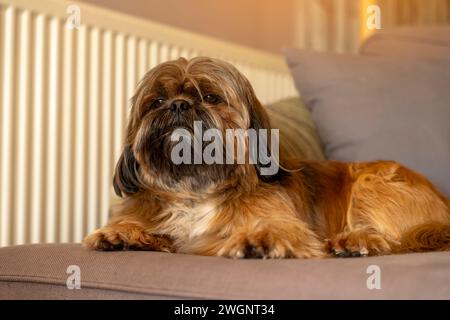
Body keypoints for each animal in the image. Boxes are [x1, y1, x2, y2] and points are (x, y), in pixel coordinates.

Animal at [82, 56, 448, 258]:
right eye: (157, 101)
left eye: (211, 97)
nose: (178, 105)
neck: (196, 192)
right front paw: (123, 234)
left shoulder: (291, 229)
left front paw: (259, 239)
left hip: (372, 185)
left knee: (393, 239)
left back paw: (356, 241)